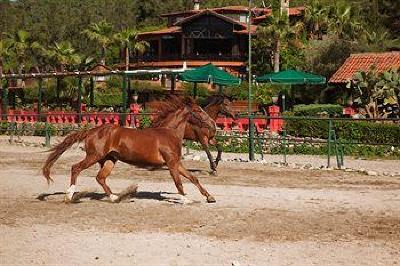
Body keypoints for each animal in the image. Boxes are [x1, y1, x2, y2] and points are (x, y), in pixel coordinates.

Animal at [41, 97, 216, 204]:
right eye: (199, 111)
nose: (213, 124)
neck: (169, 132)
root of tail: (91, 131)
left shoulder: (176, 162)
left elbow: (193, 178)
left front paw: (210, 197)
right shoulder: (171, 163)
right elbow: (178, 182)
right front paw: (186, 200)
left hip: (109, 160)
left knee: (100, 177)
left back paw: (114, 197)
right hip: (94, 156)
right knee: (76, 168)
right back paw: (69, 196)